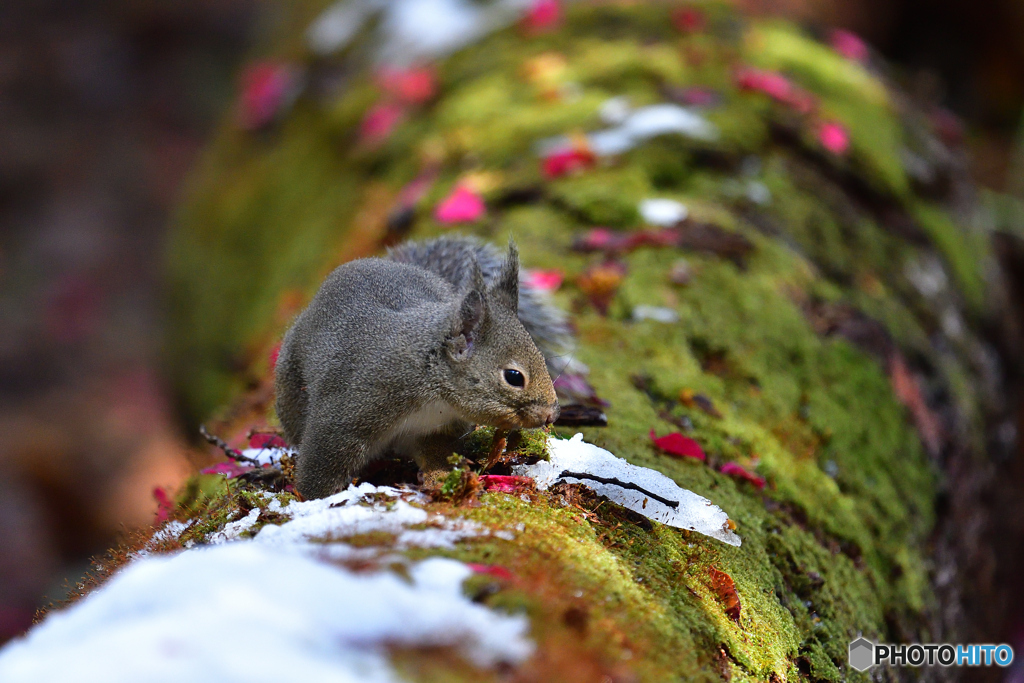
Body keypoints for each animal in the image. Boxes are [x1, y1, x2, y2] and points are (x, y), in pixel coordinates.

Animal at [276, 237, 573, 499]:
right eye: (513, 376)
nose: (551, 415)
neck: (433, 389)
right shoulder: (347, 411)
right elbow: (321, 463)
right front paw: (314, 499)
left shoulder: (437, 429)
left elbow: (436, 453)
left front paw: (441, 479)